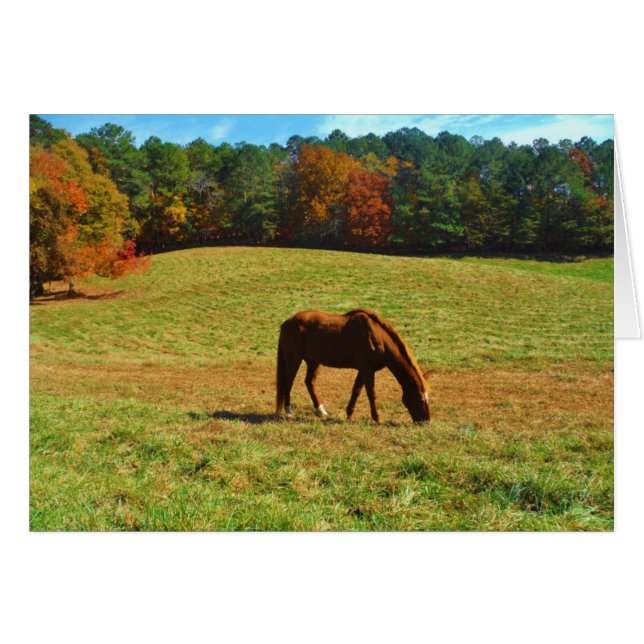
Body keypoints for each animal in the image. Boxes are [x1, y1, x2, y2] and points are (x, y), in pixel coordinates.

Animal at [275, 309, 430, 423]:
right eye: (420, 399)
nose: (425, 421)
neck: (377, 337)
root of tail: (287, 323)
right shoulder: (367, 370)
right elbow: (371, 393)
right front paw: (377, 418)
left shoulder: (363, 370)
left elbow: (356, 390)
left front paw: (349, 414)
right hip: (294, 360)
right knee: (288, 383)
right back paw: (288, 412)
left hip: (313, 362)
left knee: (309, 382)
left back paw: (321, 411)